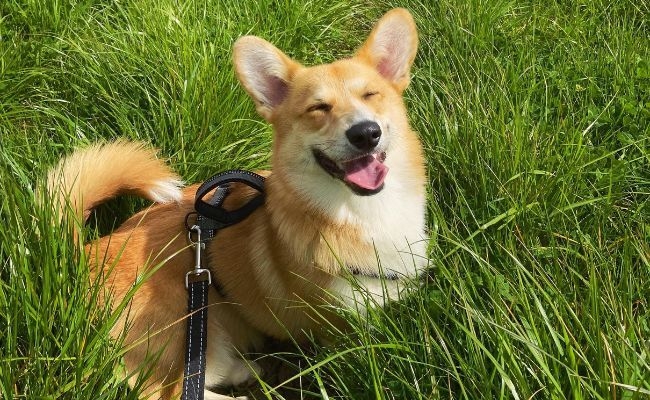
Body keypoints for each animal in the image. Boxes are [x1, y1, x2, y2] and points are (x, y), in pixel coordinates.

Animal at [48, 7, 428, 400]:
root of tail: (82, 257)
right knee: (173, 389)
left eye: (371, 94)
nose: (366, 133)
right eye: (318, 108)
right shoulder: (340, 327)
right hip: (182, 326)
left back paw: (247, 369)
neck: (360, 211)